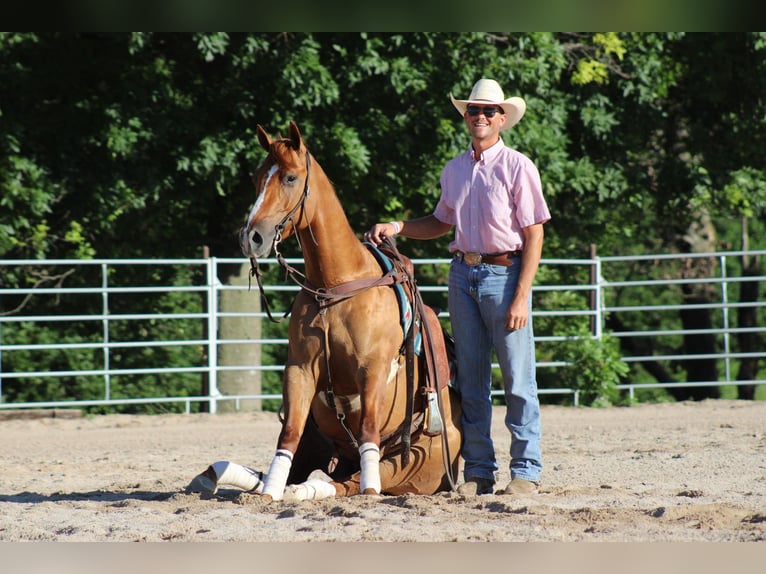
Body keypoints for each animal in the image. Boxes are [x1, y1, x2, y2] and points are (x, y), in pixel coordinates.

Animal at [188, 122, 462, 504]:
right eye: (257, 178)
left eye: (290, 177)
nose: (251, 237)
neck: (335, 288)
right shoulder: (300, 370)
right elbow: (287, 434)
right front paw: (269, 493)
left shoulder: (372, 371)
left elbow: (367, 432)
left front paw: (367, 489)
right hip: (316, 443)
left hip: (413, 462)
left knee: (348, 481)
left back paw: (316, 488)